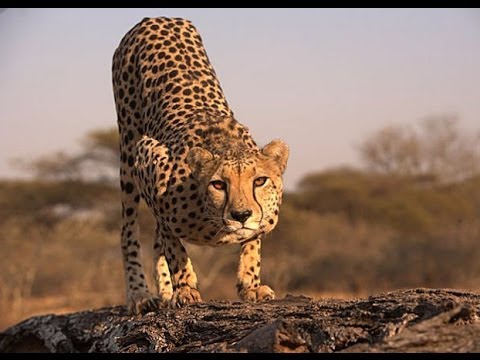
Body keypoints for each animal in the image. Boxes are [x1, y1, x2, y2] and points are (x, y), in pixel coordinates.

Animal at [111, 17, 288, 316]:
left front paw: (250, 285)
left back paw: (164, 291)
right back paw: (140, 295)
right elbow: (173, 245)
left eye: (259, 181)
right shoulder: (148, 157)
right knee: (129, 229)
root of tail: (155, 18)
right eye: (218, 184)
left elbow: (253, 244)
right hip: (128, 147)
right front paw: (184, 288)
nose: (241, 215)